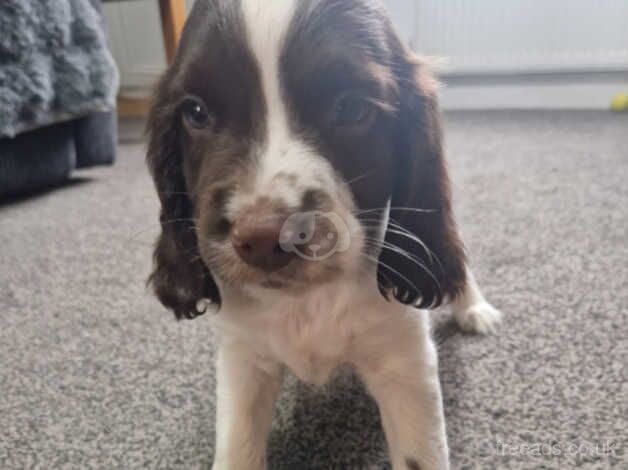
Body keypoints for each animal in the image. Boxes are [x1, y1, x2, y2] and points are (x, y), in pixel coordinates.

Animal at [146, 0, 500, 470]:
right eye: (196, 113)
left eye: (351, 108)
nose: (263, 239)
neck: (306, 301)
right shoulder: (244, 357)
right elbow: (237, 448)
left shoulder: (404, 360)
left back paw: (474, 307)